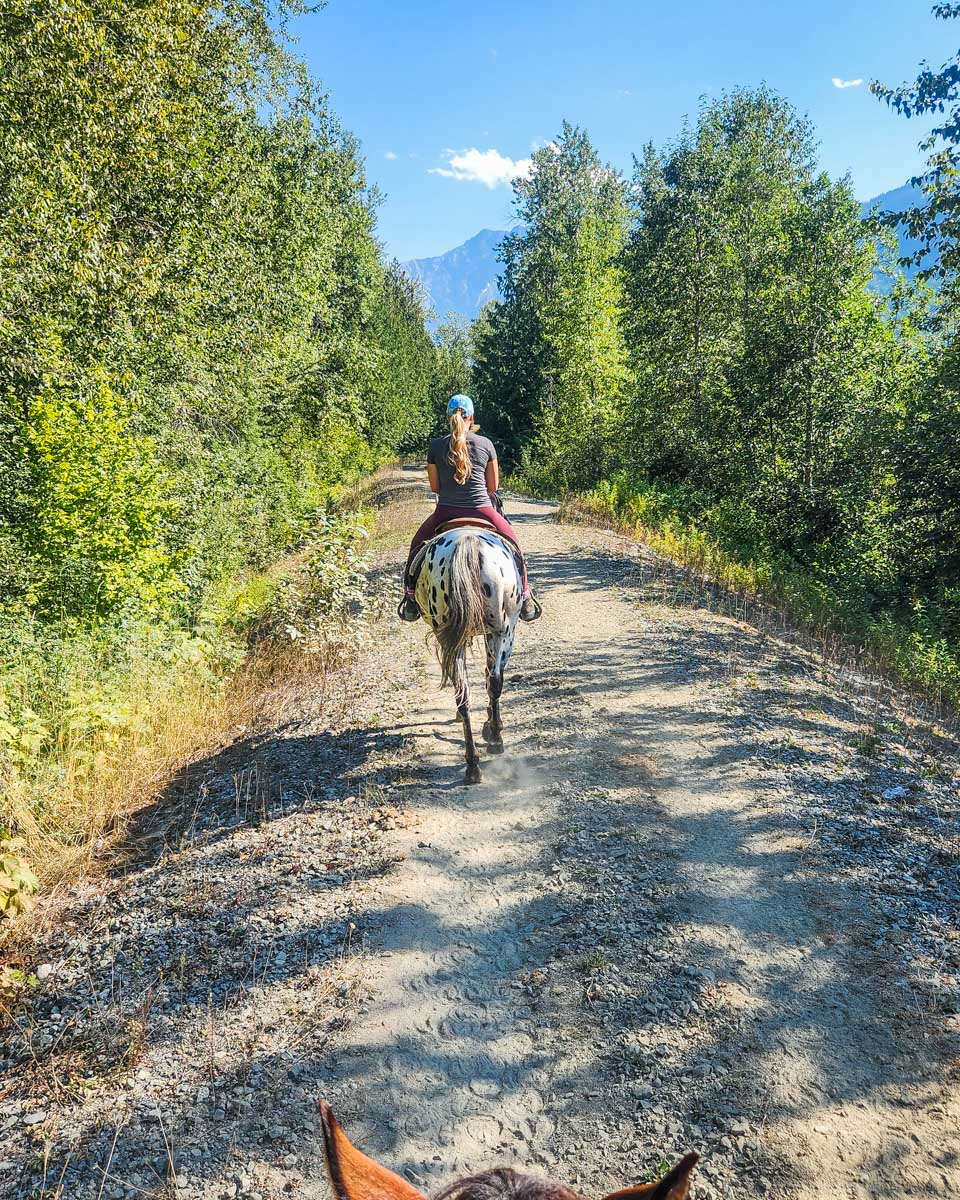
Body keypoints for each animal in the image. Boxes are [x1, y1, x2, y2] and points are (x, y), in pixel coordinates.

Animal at [414, 522, 523, 785]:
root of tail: (469, 543)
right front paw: (492, 726)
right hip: (503, 631)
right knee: (492, 683)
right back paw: (492, 742)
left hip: (459, 637)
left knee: (466, 692)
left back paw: (473, 763)